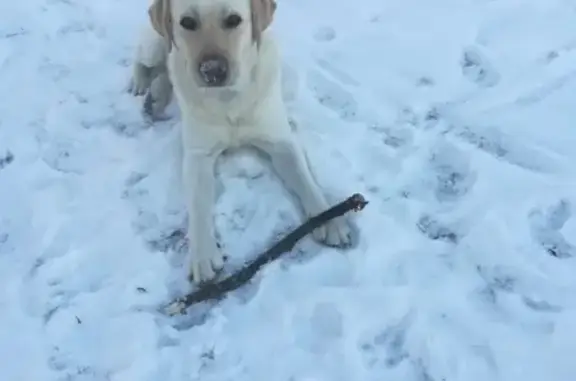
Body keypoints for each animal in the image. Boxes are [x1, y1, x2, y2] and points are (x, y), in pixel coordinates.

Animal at [129, 0, 354, 282]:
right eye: (187, 22)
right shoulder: (198, 156)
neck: (229, 100)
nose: (213, 71)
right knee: (146, 60)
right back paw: (141, 84)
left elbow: (306, 182)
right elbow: (198, 206)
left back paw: (156, 95)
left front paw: (329, 219)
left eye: (234, 20)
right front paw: (202, 255)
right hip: (154, 45)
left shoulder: (281, 142)